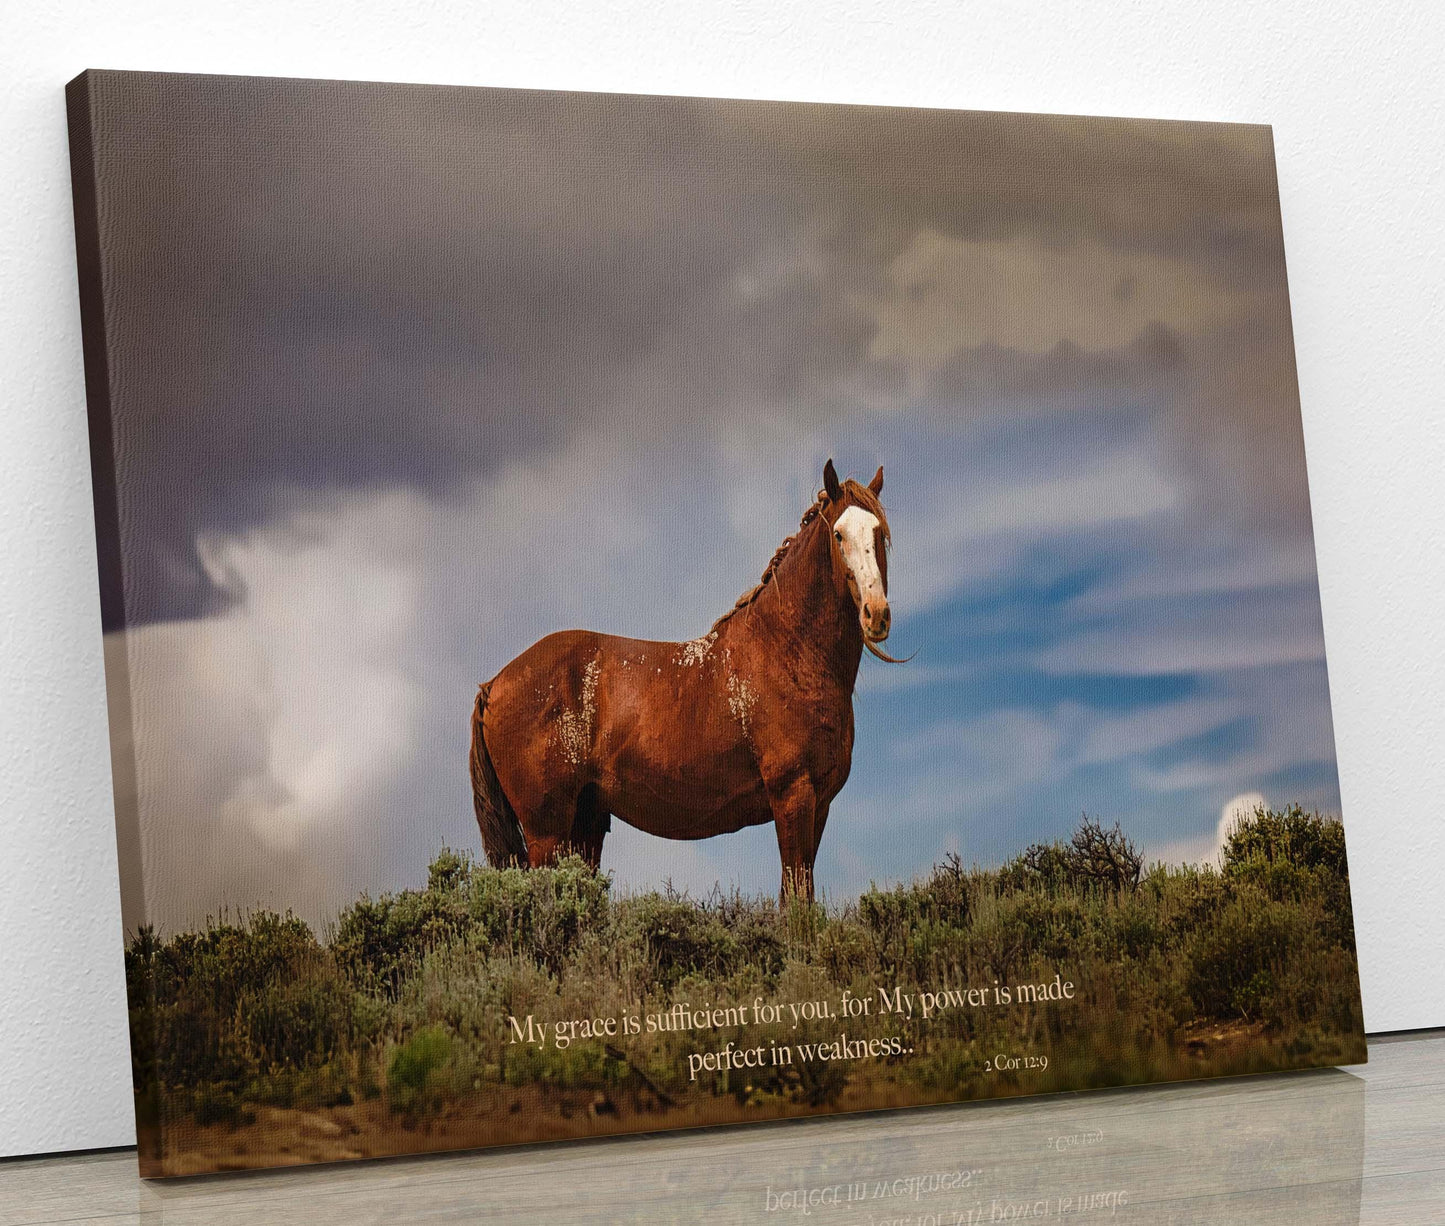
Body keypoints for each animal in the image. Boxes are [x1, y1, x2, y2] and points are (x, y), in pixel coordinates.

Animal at [468, 459, 895, 902]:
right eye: (838, 534)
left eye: (879, 533)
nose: (876, 614)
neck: (788, 651)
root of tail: (493, 685)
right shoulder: (793, 797)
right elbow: (796, 899)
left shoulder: (819, 805)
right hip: (546, 832)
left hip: (585, 823)